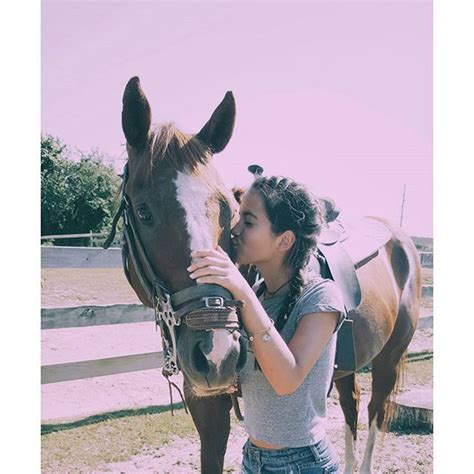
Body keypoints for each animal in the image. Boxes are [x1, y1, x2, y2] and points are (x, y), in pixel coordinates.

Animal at [110, 76, 422, 474]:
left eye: (228, 210)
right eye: (145, 212)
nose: (216, 352)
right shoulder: (206, 403)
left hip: (389, 360)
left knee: (374, 410)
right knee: (351, 403)